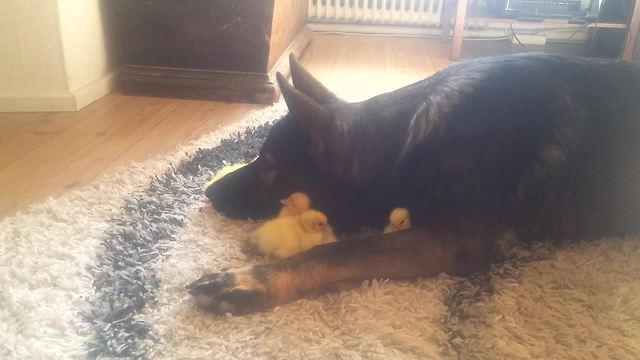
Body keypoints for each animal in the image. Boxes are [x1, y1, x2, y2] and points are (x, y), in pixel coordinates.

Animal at [188, 52, 640, 316]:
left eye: (269, 165)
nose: (208, 192)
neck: (406, 141)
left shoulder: (454, 240)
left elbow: (341, 251)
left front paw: (251, 280)